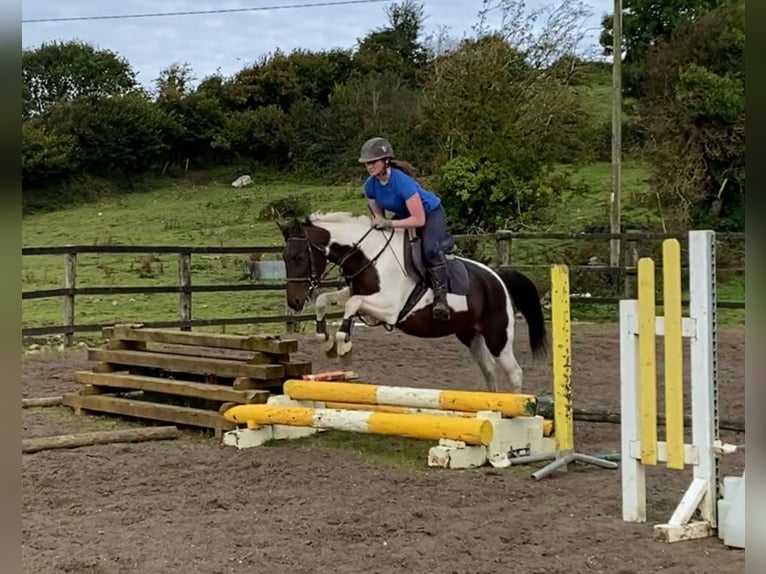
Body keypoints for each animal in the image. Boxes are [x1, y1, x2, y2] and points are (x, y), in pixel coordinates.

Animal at [280, 213, 548, 396]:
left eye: (299, 257)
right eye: (285, 257)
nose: (294, 301)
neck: (369, 257)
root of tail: (497, 278)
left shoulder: (390, 309)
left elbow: (352, 305)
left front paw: (344, 345)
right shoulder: (358, 294)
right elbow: (325, 300)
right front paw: (325, 340)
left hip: (498, 336)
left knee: (514, 372)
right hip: (470, 335)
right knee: (490, 370)